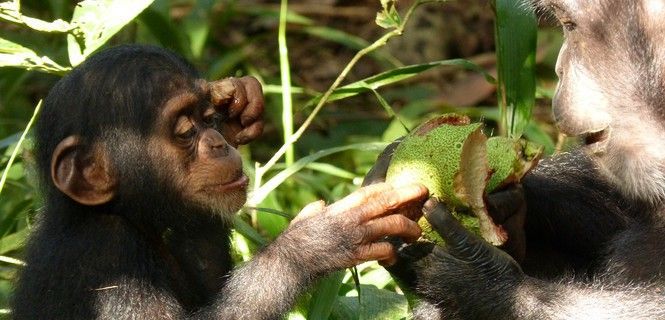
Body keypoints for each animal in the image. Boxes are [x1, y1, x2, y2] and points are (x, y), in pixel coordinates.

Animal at [13, 43, 428, 318]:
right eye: (184, 130)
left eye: (207, 117)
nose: (217, 142)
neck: (126, 215)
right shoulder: (107, 259)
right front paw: (316, 242)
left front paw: (236, 100)